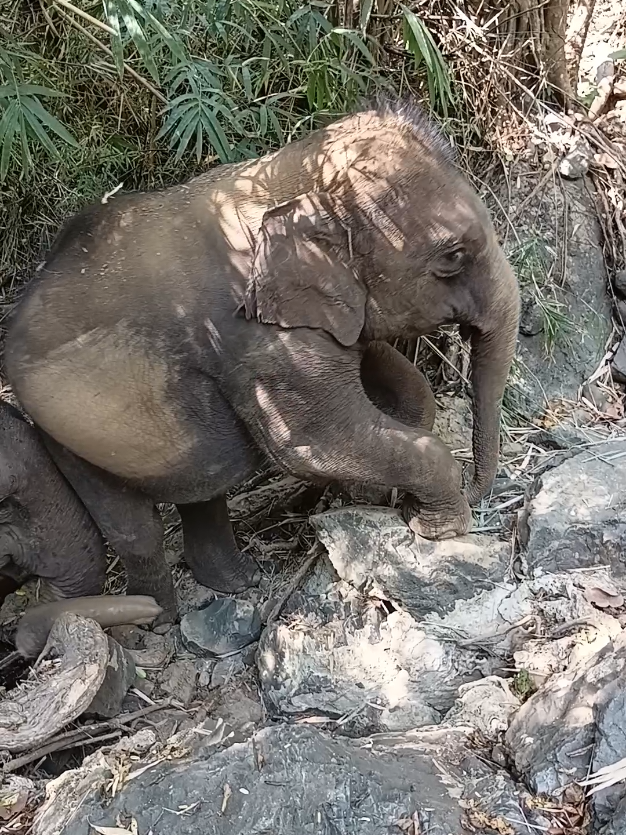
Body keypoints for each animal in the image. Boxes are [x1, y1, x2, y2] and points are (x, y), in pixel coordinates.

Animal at [4, 98, 520, 621]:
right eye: (453, 255)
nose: (477, 491)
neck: (294, 169)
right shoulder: (253, 339)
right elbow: (314, 442)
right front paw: (437, 529)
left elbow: (401, 385)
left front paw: (375, 502)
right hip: (62, 437)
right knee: (136, 528)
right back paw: (158, 622)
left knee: (203, 487)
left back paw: (238, 583)